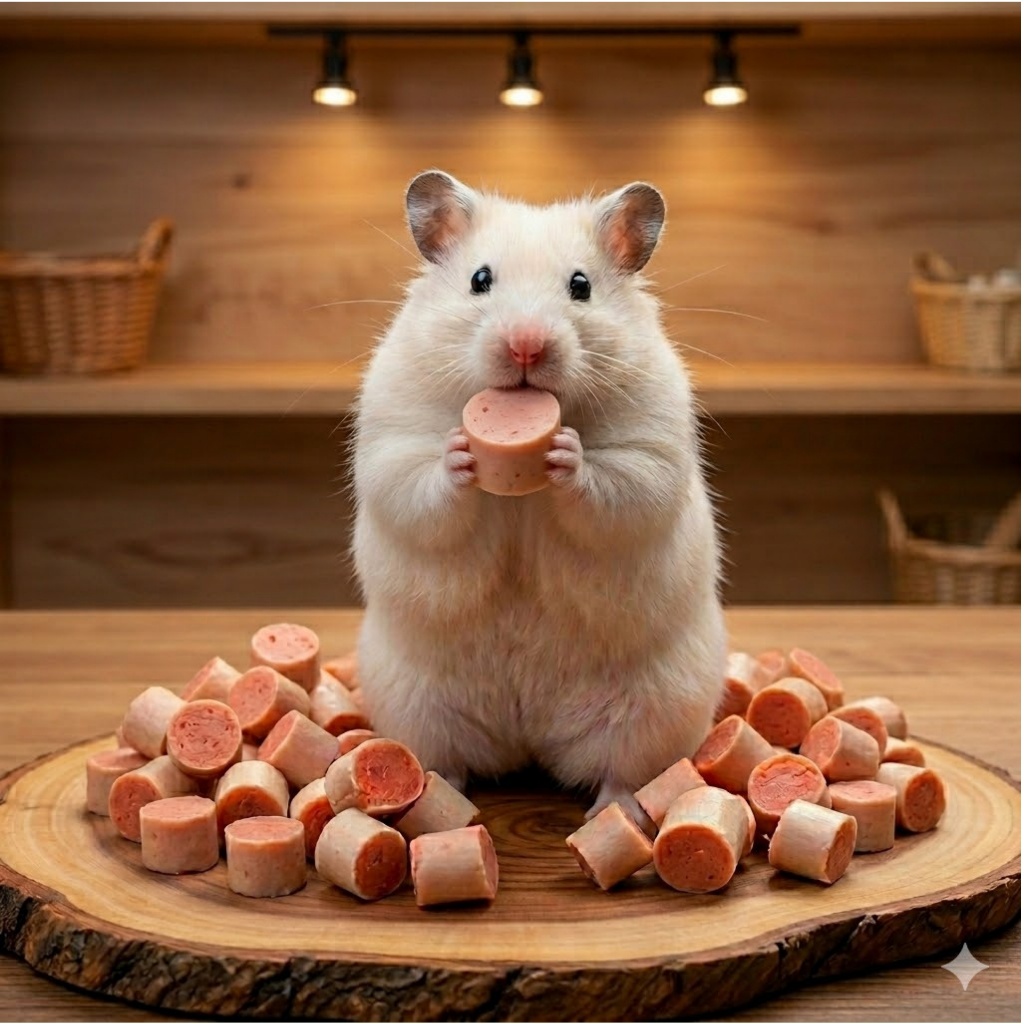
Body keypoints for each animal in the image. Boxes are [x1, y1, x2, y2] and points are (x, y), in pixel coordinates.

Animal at [351, 170, 726, 823]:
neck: (520, 493)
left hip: (657, 709)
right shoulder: (391, 442)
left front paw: (566, 454)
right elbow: (417, 483)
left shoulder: (650, 451)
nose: (526, 345)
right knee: (449, 763)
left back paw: (611, 817)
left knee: (623, 775)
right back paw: (441, 802)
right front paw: (460, 453)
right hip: (412, 704)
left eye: (581, 286)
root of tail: (528, 737)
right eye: (480, 279)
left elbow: (619, 487)